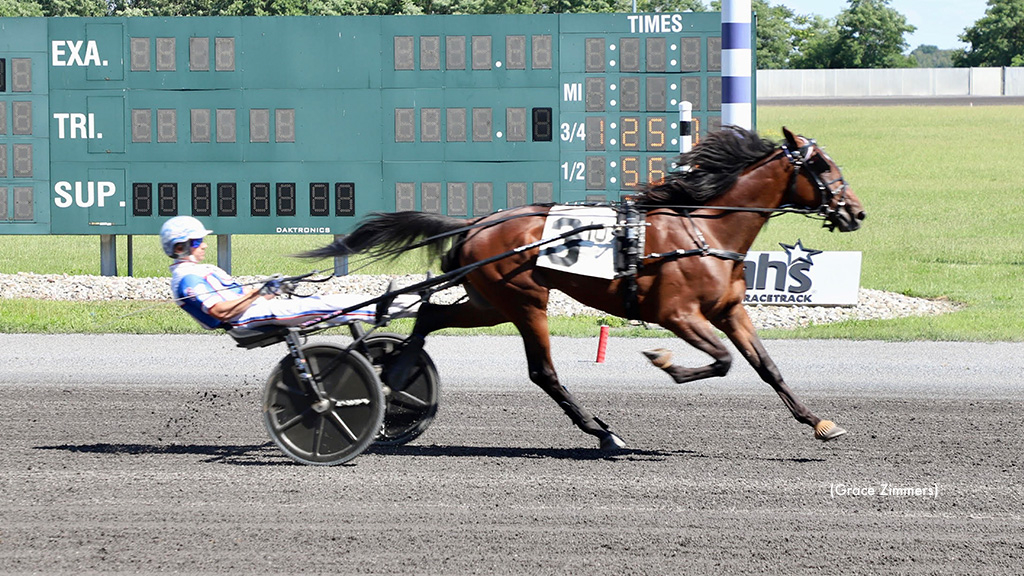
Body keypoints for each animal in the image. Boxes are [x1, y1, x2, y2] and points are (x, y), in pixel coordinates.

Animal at [301, 125, 864, 448]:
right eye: (822, 166)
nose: (856, 212)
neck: (704, 231)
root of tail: (476, 222)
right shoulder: (678, 314)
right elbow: (723, 361)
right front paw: (666, 363)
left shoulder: (730, 311)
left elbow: (766, 366)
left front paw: (819, 423)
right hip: (525, 301)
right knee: (542, 372)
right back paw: (602, 432)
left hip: (490, 301)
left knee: (431, 316)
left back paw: (394, 379)